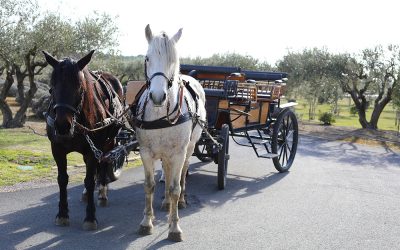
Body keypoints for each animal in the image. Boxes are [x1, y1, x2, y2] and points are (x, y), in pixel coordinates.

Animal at [42, 49, 123, 230]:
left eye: (79, 87)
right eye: (52, 86)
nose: (62, 125)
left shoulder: (92, 151)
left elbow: (90, 180)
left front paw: (90, 217)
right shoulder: (57, 149)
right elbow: (62, 179)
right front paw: (62, 214)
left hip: (108, 143)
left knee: (104, 164)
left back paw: (102, 193)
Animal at [136, 24, 208, 241]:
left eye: (174, 60)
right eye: (147, 58)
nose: (158, 96)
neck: (160, 115)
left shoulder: (178, 152)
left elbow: (175, 187)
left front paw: (174, 227)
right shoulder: (146, 152)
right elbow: (149, 185)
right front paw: (146, 222)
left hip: (188, 148)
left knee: (183, 171)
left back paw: (180, 201)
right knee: (166, 172)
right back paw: (167, 202)